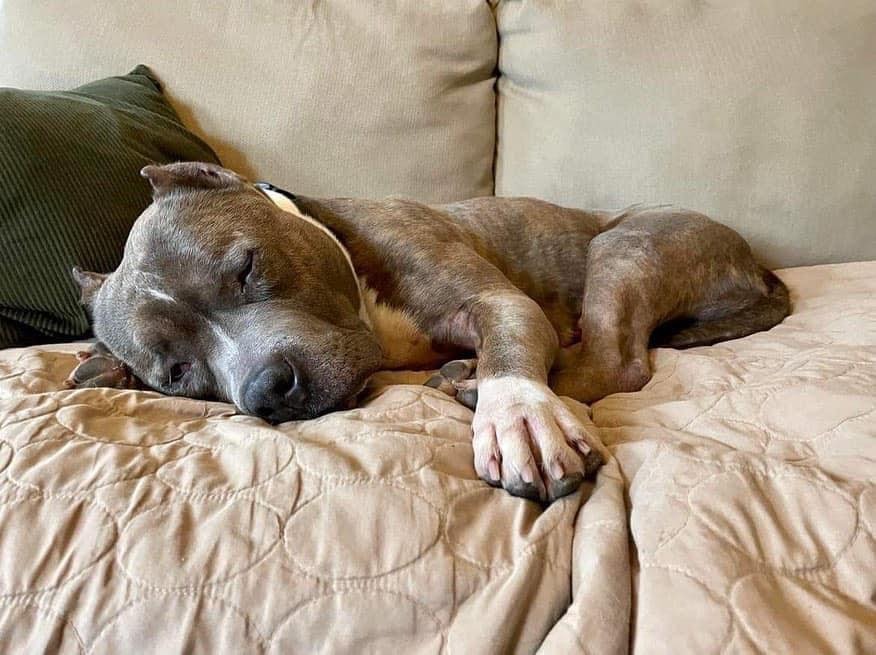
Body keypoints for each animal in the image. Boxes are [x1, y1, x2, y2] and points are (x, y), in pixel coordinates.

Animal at [72, 163, 792, 502]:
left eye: (247, 267)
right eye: (178, 372)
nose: (266, 389)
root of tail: (757, 264)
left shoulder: (498, 301)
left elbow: (513, 354)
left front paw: (518, 414)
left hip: (627, 243)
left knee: (617, 361)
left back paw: (479, 384)